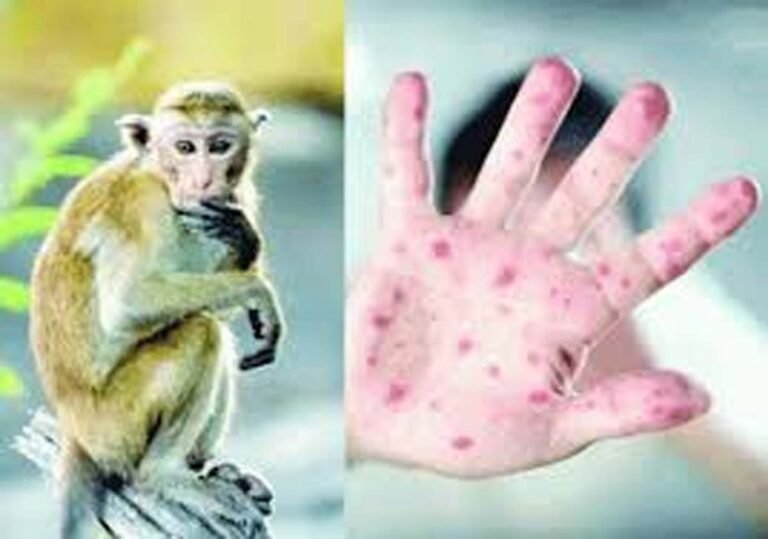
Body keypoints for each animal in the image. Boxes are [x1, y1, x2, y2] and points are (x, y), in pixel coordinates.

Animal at [29, 81, 282, 538]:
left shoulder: (229, 202)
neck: (160, 178)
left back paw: (210, 468)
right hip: (116, 428)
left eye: (220, 146)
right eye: (184, 147)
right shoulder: (141, 208)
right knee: (200, 332)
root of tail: (74, 431)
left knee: (208, 326)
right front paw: (259, 291)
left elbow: (223, 306)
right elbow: (127, 304)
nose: (204, 179)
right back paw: (164, 475)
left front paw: (244, 239)